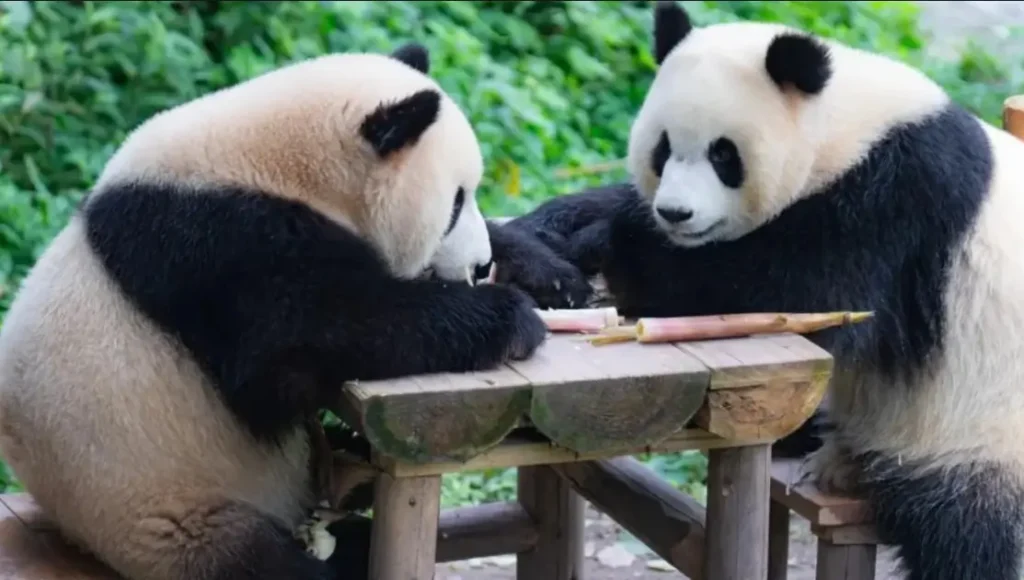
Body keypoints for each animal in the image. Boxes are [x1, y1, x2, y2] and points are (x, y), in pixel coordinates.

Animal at [0, 43, 555, 580]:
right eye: (456, 203)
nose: (480, 265)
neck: (280, 162)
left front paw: (540, 267)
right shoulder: (216, 246)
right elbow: (304, 344)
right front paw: (510, 316)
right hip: (172, 517)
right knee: (268, 562)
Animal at [498, 2, 1024, 579]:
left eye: (723, 155)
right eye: (663, 149)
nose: (675, 213)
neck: (846, 129)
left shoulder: (895, 198)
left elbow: (788, 295)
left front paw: (616, 243)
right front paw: (547, 247)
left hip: (977, 425)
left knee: (966, 535)